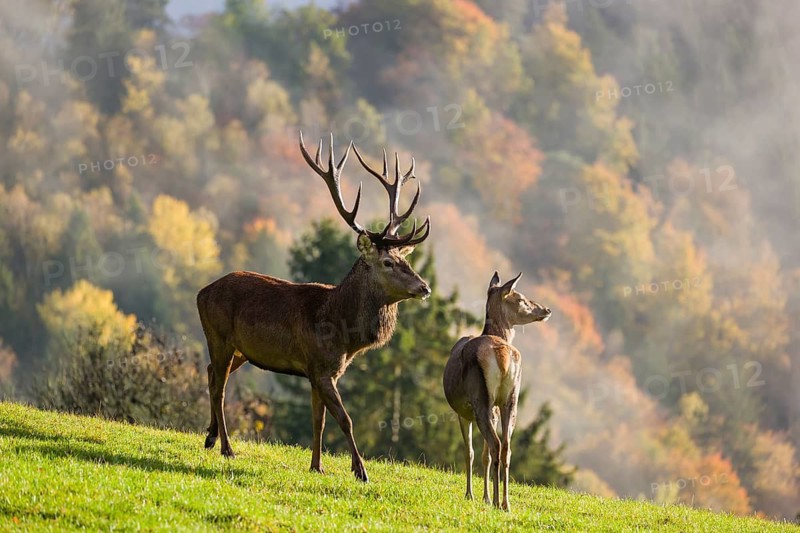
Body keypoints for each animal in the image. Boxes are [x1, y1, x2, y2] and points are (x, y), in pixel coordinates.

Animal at [196, 132, 431, 482]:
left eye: (405, 260)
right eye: (388, 262)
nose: (424, 287)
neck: (343, 332)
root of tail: (201, 292)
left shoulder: (321, 371)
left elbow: (318, 421)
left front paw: (317, 465)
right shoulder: (320, 367)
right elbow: (345, 419)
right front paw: (360, 470)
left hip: (241, 350)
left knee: (211, 372)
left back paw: (210, 437)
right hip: (219, 335)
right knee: (219, 388)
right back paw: (227, 447)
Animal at [443, 272, 551, 511]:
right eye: (521, 299)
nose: (546, 309)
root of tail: (502, 355)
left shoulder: (463, 412)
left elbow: (471, 452)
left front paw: (471, 495)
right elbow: (483, 454)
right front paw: (482, 495)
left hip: (480, 399)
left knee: (495, 444)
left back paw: (495, 501)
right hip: (511, 398)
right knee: (506, 447)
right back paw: (505, 503)